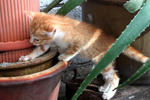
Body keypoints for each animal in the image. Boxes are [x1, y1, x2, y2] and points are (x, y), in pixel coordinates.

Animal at [19, 11, 149, 100]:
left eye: (36, 39)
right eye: (30, 35)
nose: (30, 41)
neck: (60, 34)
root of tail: (114, 40)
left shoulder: (80, 42)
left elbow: (73, 50)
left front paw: (64, 56)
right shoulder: (47, 43)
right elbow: (39, 50)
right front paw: (27, 57)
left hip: (101, 58)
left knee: (115, 77)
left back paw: (109, 93)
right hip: (101, 61)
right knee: (109, 75)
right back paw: (105, 88)